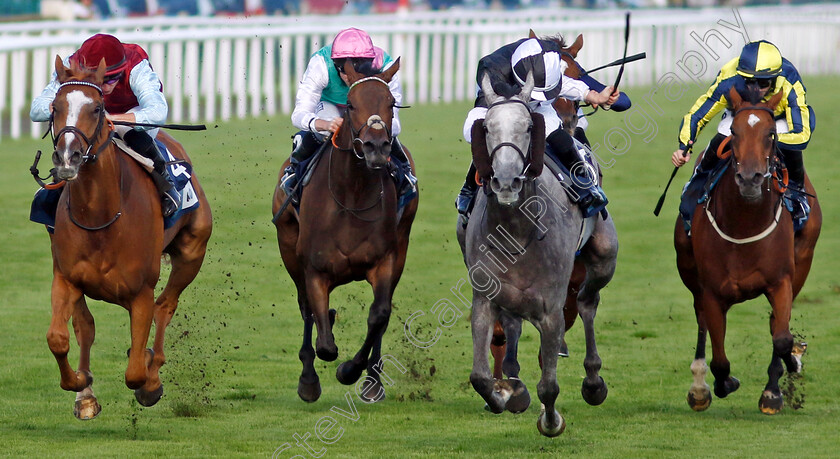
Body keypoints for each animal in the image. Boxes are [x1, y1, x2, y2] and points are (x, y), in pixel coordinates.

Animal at [45, 56, 213, 420]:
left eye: (97, 108)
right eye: (54, 106)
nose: (67, 158)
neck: (101, 217)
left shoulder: (140, 293)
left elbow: (135, 371)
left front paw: (149, 382)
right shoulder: (66, 277)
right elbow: (59, 338)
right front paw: (81, 385)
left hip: (192, 253)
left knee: (166, 306)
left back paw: (153, 366)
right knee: (85, 324)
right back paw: (86, 394)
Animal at [272, 57, 416, 402]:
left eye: (391, 103)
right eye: (350, 105)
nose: (377, 147)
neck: (352, 195)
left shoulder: (385, 261)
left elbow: (379, 315)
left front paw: (353, 371)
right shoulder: (313, 269)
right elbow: (323, 340)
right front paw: (311, 378)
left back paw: (373, 380)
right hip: (289, 248)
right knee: (307, 310)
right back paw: (308, 377)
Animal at [456, 72, 620, 438]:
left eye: (529, 127)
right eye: (487, 128)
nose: (505, 182)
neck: (516, 229)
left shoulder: (551, 308)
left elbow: (549, 385)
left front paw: (551, 421)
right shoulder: (484, 298)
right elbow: (479, 376)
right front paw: (504, 395)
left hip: (605, 256)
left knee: (587, 303)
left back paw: (594, 382)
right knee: (513, 325)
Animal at [676, 87, 820, 416]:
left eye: (770, 134)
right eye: (733, 132)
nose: (751, 179)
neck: (743, 224)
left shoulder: (781, 281)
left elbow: (781, 338)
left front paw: (777, 387)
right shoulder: (712, 291)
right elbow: (719, 358)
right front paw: (721, 383)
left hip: (802, 264)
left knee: (776, 326)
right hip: (689, 271)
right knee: (701, 320)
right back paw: (699, 387)